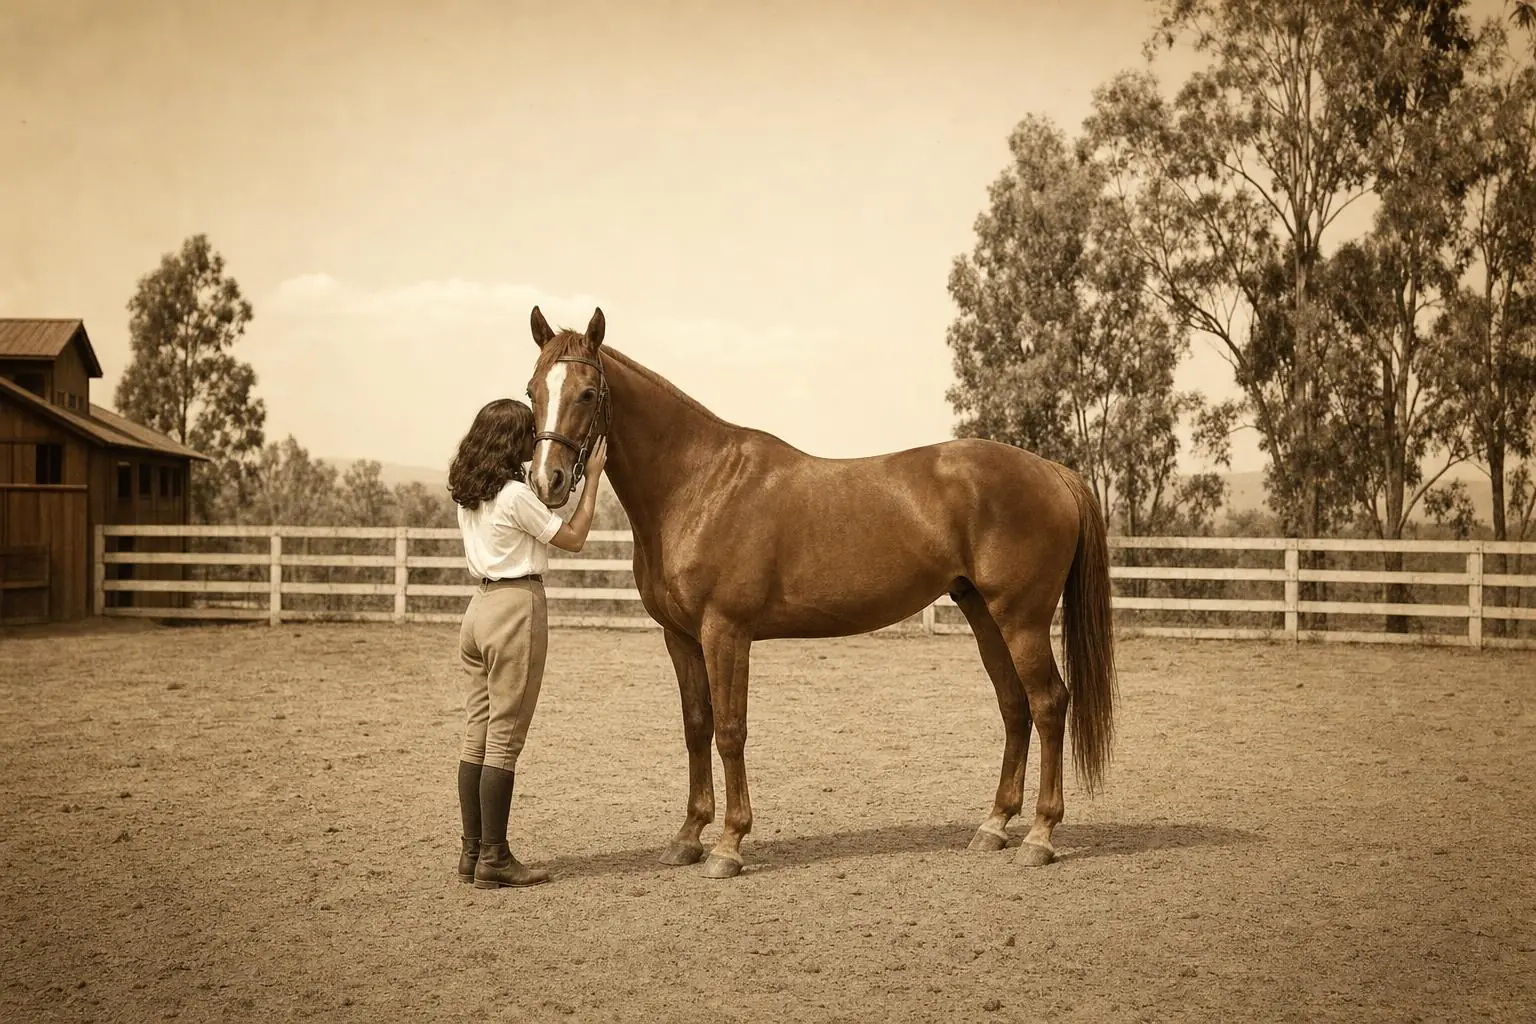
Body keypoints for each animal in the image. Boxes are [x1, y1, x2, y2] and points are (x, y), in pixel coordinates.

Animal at [523, 306, 1117, 879]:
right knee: (1014, 706)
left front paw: (729, 846)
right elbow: (696, 728)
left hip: (1023, 619)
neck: (699, 485)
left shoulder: (725, 632)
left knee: (1048, 703)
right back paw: (994, 826)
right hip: (982, 613)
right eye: (533, 391)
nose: (547, 481)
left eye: (588, 393)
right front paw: (688, 837)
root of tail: (1054, 472)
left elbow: (730, 730)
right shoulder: (681, 638)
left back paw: (1039, 837)